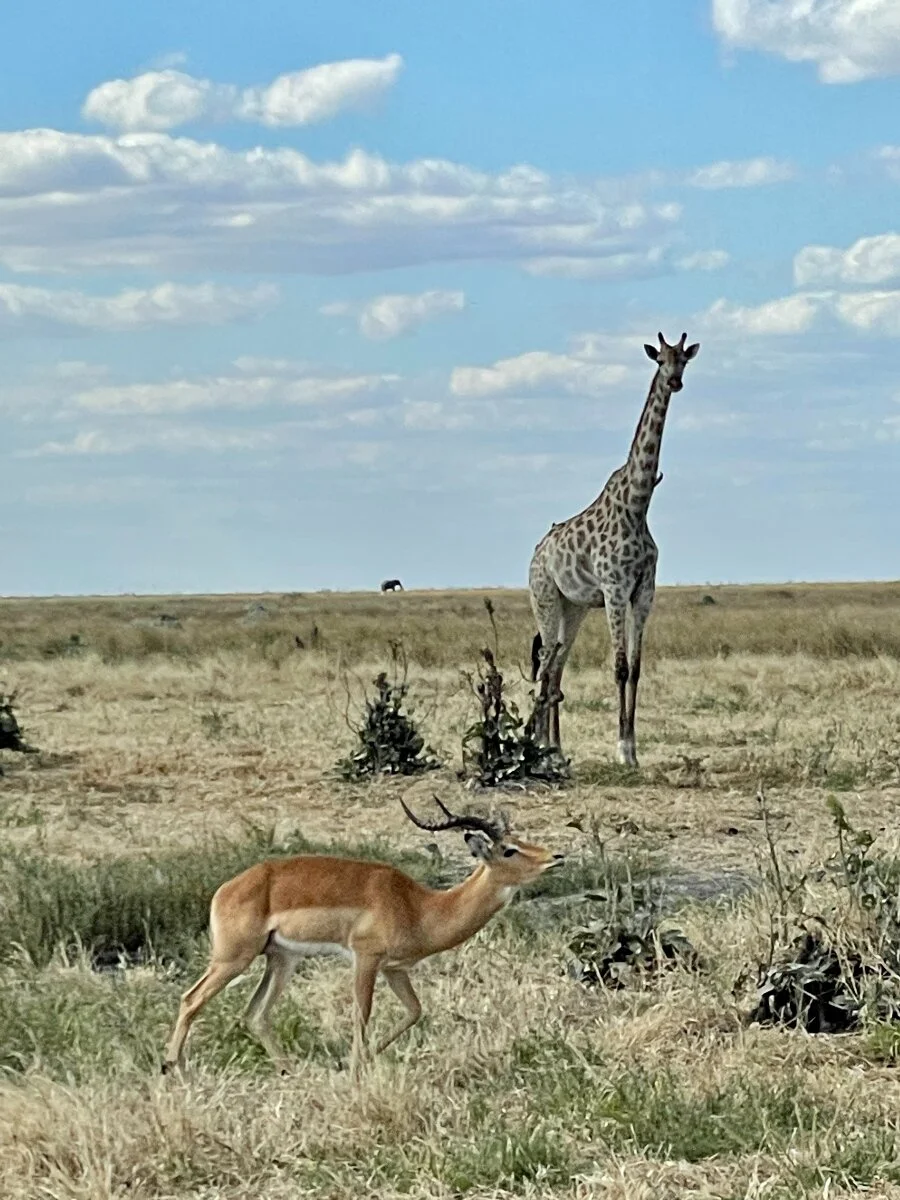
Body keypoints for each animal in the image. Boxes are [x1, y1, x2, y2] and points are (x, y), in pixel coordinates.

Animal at [162, 797, 562, 1077]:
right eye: (509, 849)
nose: (556, 856)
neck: (419, 906)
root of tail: (224, 891)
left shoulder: (395, 968)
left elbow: (414, 1011)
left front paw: (356, 1061)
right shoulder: (366, 959)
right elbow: (362, 1013)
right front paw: (355, 1068)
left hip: (281, 959)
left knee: (255, 1014)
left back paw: (288, 1070)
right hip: (233, 959)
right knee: (191, 999)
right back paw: (175, 1070)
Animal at [528, 331, 699, 766]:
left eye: (683, 360)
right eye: (659, 360)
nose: (675, 381)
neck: (638, 504)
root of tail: (537, 553)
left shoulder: (643, 592)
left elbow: (636, 669)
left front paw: (633, 748)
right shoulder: (614, 589)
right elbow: (619, 667)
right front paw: (622, 750)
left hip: (572, 608)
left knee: (556, 667)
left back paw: (554, 749)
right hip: (545, 598)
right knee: (545, 666)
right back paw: (541, 749)